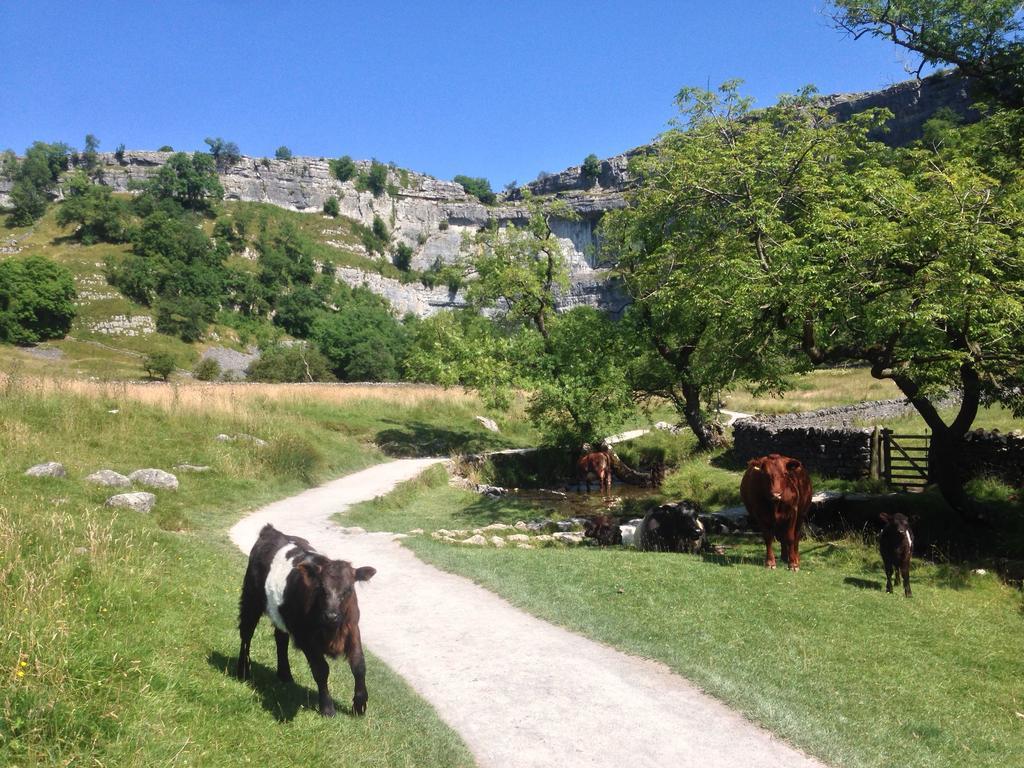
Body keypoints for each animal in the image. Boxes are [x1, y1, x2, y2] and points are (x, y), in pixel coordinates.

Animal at [237, 528, 378, 720]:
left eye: (348, 590)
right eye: (321, 588)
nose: (331, 616)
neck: (332, 630)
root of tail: (272, 530)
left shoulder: (352, 628)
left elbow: (359, 665)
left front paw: (359, 705)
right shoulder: (305, 636)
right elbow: (321, 669)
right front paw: (327, 708)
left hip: (281, 613)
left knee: (280, 639)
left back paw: (285, 674)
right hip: (251, 597)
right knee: (246, 632)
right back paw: (243, 670)